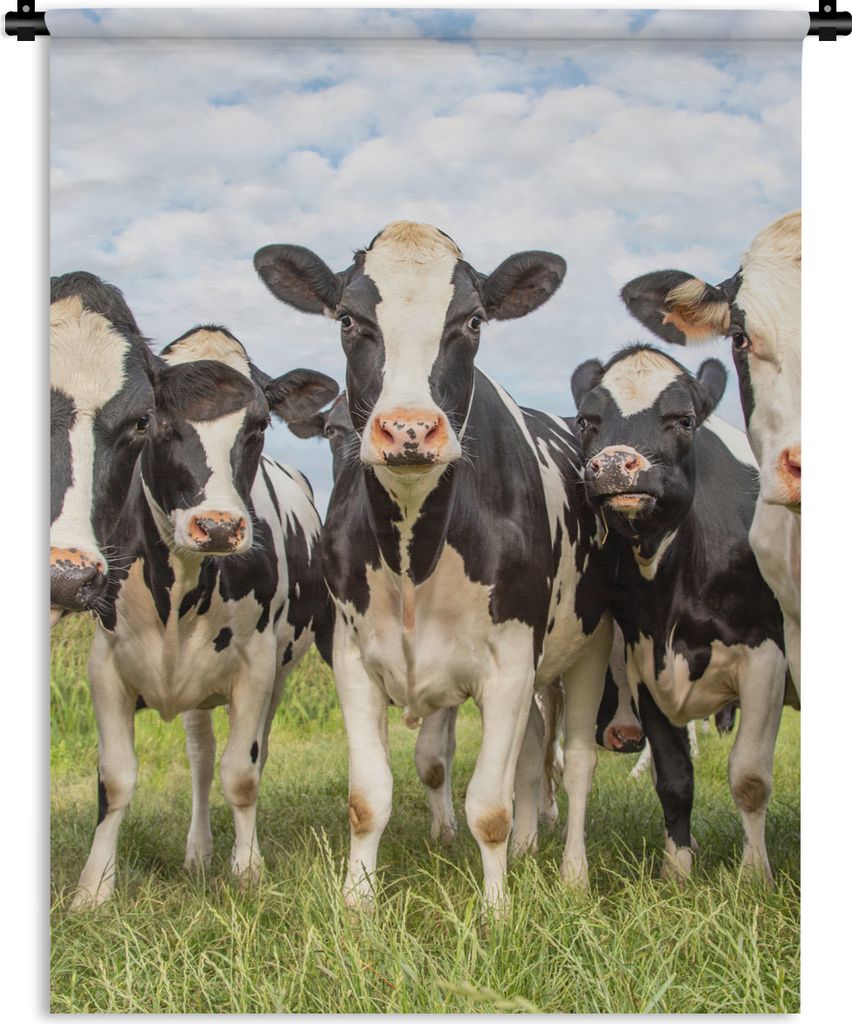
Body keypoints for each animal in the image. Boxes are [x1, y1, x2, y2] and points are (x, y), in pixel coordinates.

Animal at [50, 274, 338, 908]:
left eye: (259, 425)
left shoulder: (257, 664)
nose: (220, 527)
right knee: (200, 758)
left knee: (237, 755)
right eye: (155, 423)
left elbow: (242, 773)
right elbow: (116, 778)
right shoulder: (105, 665)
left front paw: (248, 869)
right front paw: (93, 888)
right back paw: (198, 851)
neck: (178, 589)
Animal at [255, 221, 614, 912]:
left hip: (589, 646)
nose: (409, 429)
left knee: (577, 762)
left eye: (471, 321)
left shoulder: (511, 662)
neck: (413, 554)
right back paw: (529, 847)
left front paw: (497, 912)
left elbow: (490, 807)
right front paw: (357, 905)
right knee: (534, 750)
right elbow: (369, 799)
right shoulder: (352, 657)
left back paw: (573, 872)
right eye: (349, 318)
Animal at [571, 344, 786, 883]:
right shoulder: (646, 661)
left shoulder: (766, 655)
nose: (612, 465)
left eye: (684, 420)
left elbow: (749, 775)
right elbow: (674, 778)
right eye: (587, 420)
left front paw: (755, 875)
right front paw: (678, 870)